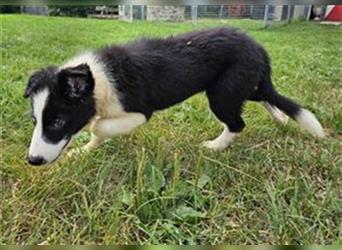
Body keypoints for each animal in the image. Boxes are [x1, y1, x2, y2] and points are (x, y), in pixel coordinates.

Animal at [24, 27, 326, 166]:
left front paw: (89, 140)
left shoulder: (138, 112)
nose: (33, 161)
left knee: (238, 123)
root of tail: (259, 47)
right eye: (35, 121)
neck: (98, 79)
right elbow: (97, 131)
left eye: (58, 122)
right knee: (264, 96)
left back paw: (216, 146)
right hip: (239, 87)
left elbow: (99, 126)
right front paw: (84, 151)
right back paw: (280, 118)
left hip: (223, 93)